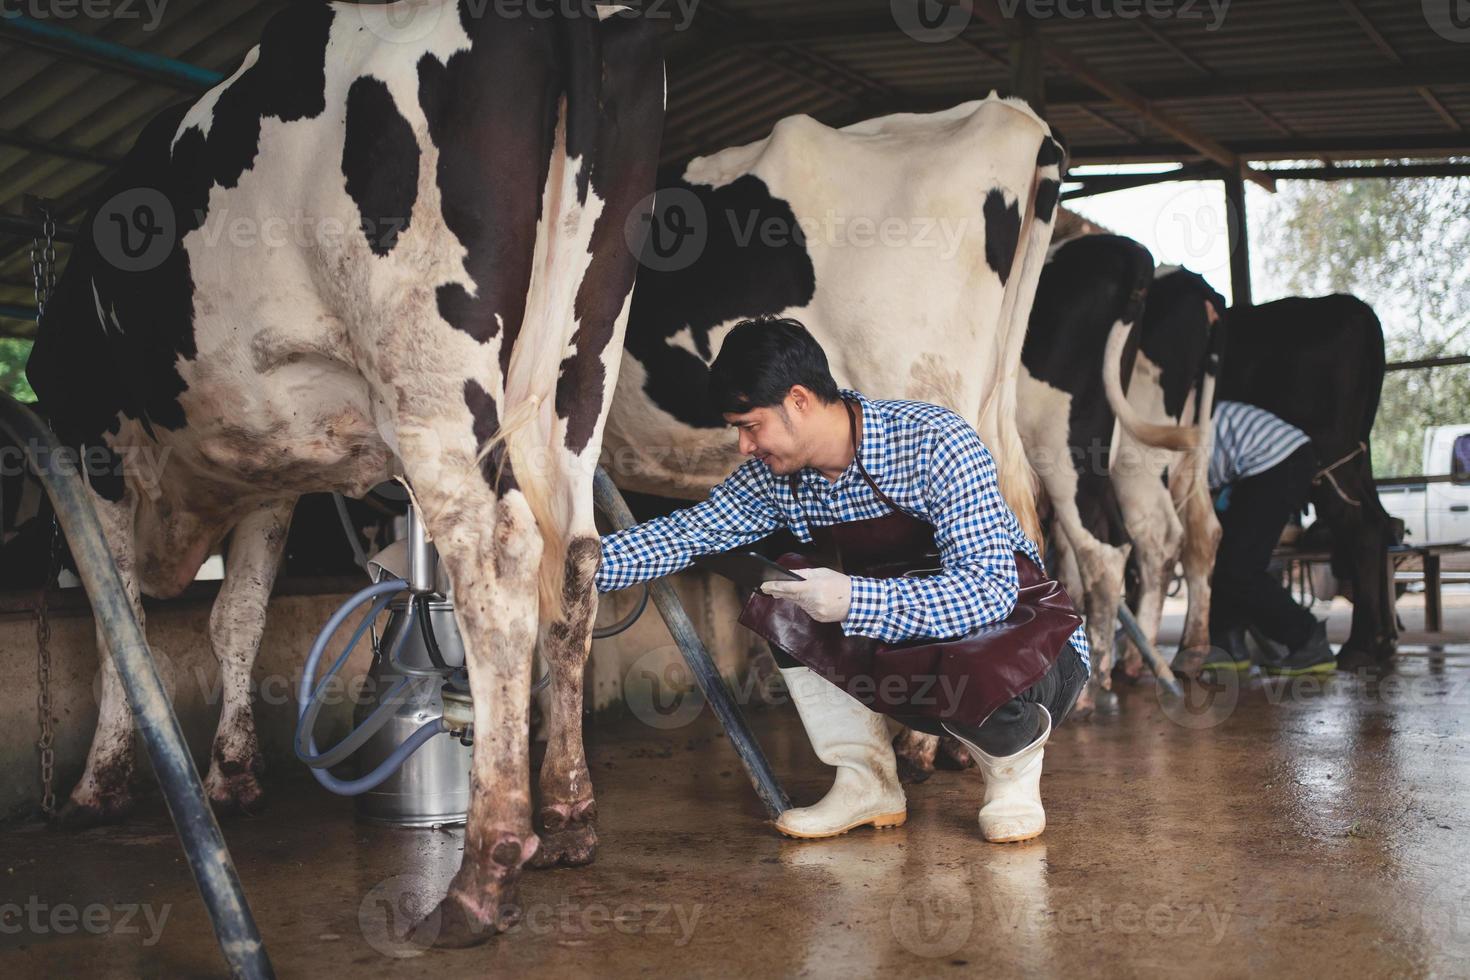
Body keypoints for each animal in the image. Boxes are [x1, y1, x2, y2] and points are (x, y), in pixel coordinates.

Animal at [22, 3, 664, 946]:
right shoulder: (269, 475)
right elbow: (237, 618)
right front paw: (234, 775)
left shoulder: (89, 436)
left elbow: (119, 622)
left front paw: (97, 788)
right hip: (582, 366)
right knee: (575, 565)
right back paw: (571, 822)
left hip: (430, 376)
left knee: (499, 570)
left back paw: (481, 877)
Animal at [1223, 295, 1393, 669]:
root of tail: (1350, 304)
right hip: (1355, 459)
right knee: (1379, 520)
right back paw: (1382, 639)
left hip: (1328, 456)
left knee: (1363, 529)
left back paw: (1358, 646)